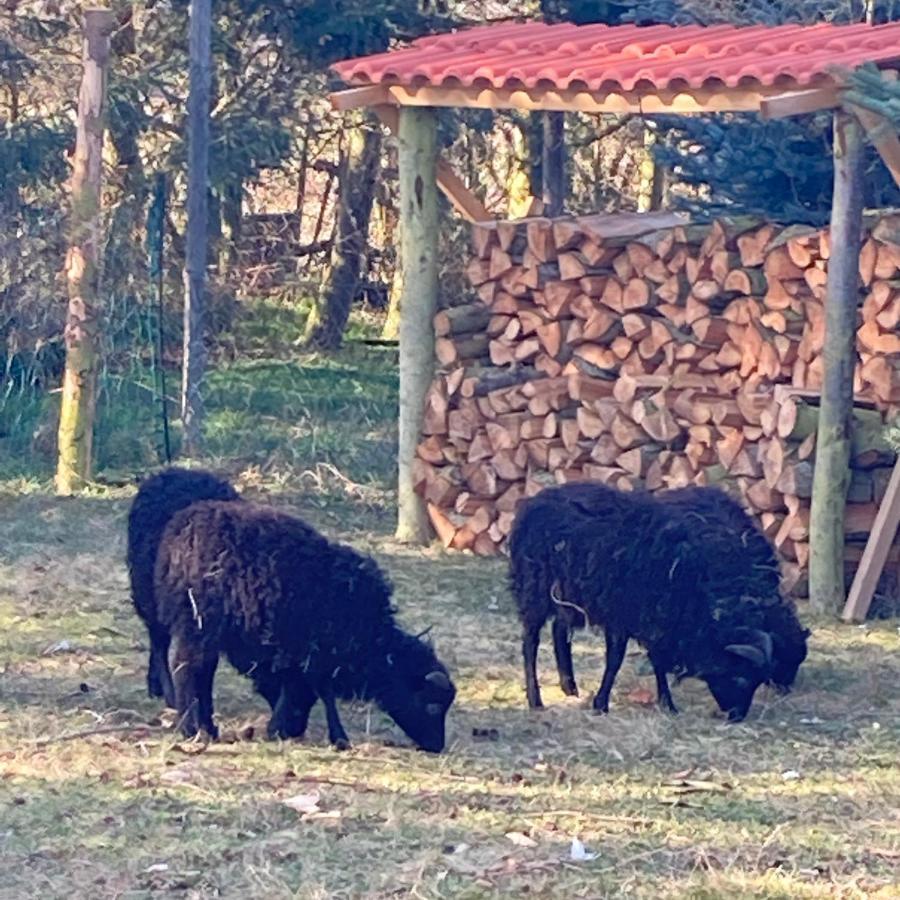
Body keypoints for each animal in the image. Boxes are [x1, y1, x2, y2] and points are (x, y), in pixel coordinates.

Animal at [154, 502, 458, 748]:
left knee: (202, 671)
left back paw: (207, 727)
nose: (436, 746)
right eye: (432, 706)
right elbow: (319, 693)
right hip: (200, 620)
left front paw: (286, 728)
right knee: (186, 667)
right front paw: (328, 735)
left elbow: (306, 690)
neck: (377, 646)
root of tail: (179, 532)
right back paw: (191, 728)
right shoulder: (317, 653)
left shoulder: (301, 655)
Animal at [510, 482, 776, 720]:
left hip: (567, 594)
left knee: (559, 629)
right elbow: (616, 660)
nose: (737, 716)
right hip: (534, 588)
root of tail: (537, 500)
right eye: (740, 676)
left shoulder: (657, 621)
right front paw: (601, 704)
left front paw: (667, 704)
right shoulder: (623, 614)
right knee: (530, 642)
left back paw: (570, 687)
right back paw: (535, 700)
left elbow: (657, 662)